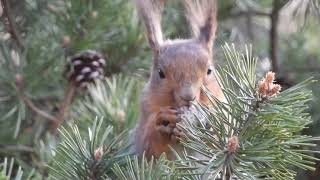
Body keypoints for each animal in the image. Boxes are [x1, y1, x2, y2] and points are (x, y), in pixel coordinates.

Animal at [131, 0, 225, 160]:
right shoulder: (145, 110)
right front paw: (163, 120)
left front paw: (211, 123)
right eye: (161, 73)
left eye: (209, 71)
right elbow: (149, 145)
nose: (188, 96)